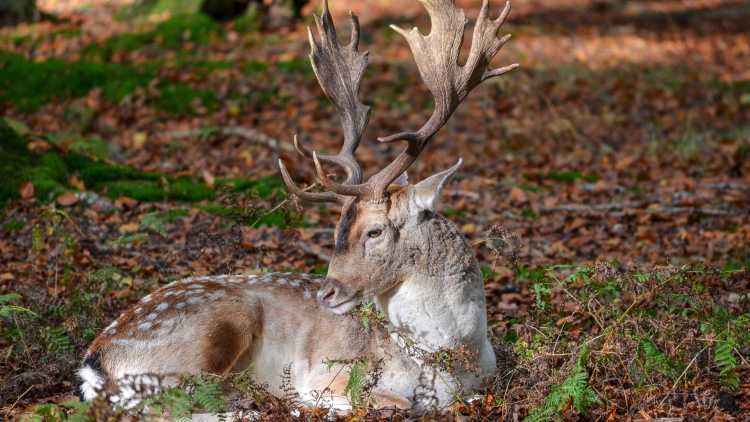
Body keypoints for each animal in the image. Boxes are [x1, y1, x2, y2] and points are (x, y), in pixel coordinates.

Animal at [79, 0, 520, 412]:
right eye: (337, 230)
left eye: (374, 231)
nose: (326, 293)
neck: (455, 359)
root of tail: (95, 359)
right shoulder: (331, 374)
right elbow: (391, 402)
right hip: (211, 329)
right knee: (183, 401)